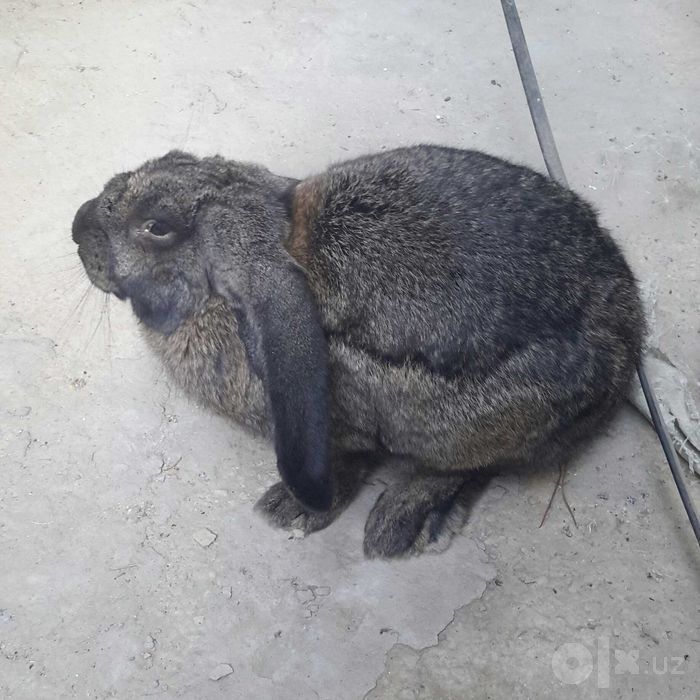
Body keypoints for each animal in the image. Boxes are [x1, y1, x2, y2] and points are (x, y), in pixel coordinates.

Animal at [72, 145, 645, 558]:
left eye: (157, 227)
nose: (77, 226)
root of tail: (627, 336)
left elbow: (347, 457)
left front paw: (301, 509)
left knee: (477, 464)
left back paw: (401, 521)